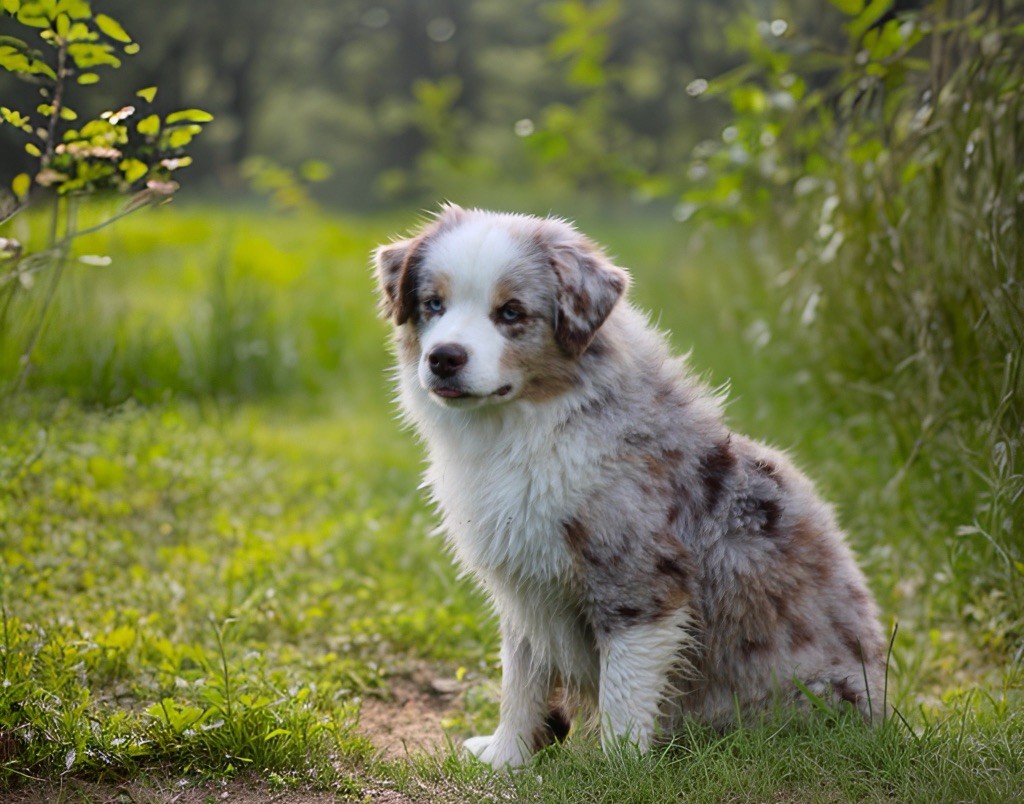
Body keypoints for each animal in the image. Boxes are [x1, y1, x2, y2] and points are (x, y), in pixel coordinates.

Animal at [372, 205, 884, 766]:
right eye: (433, 304)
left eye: (510, 312)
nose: (444, 358)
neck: (527, 429)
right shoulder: (525, 586)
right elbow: (521, 680)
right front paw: (508, 758)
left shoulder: (638, 583)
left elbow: (622, 691)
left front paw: (617, 770)